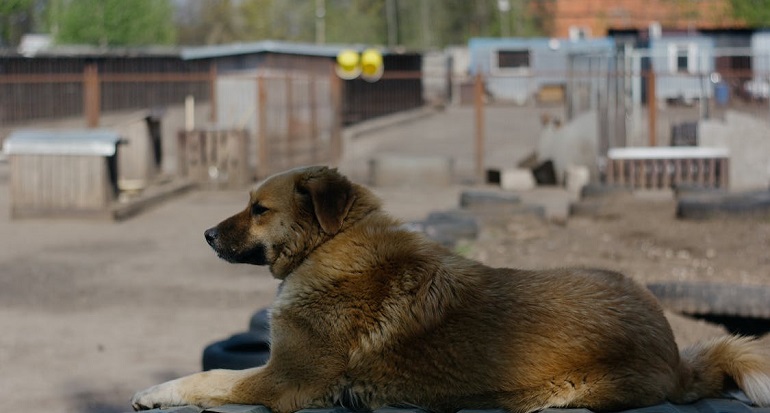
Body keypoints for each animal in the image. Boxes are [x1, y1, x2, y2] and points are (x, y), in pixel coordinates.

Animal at [132, 165, 768, 412]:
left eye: (258, 209)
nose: (206, 234)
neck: (334, 245)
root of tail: (675, 352)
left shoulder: (286, 380)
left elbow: (211, 375)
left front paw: (155, 390)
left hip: (567, 392)